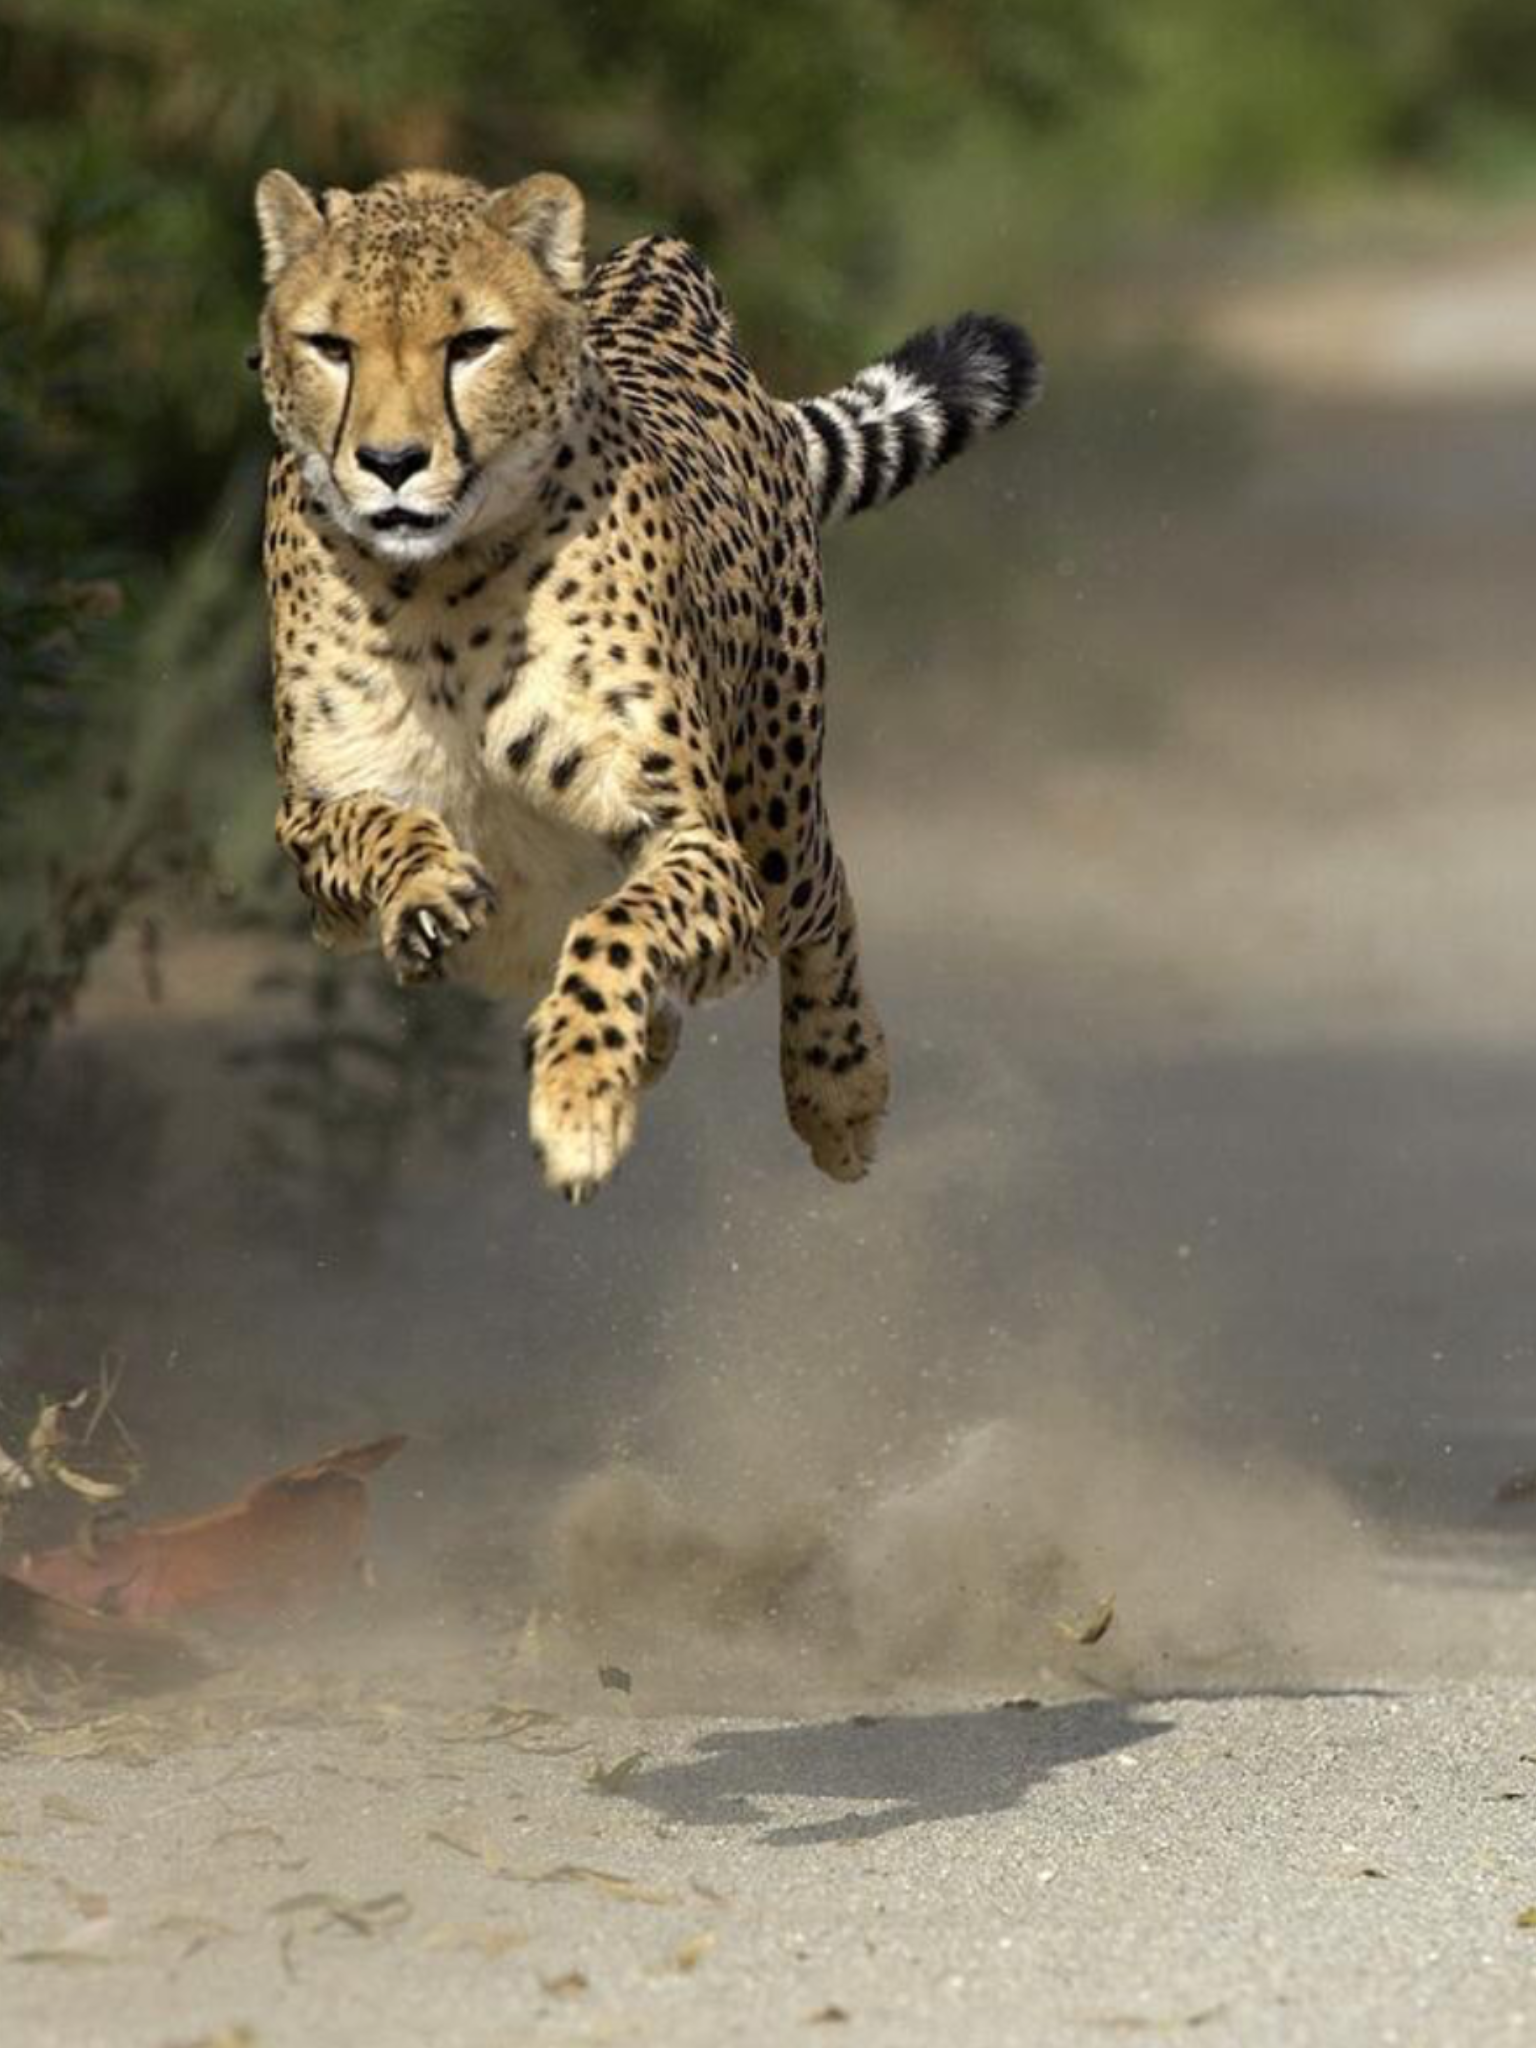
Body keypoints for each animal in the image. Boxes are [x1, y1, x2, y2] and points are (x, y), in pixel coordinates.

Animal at [256, 180, 1048, 1196]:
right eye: (331, 344)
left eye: (473, 342)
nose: (392, 464)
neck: (441, 585)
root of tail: (663, 263)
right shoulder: (310, 826)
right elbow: (376, 823)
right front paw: (430, 891)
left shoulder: (692, 837)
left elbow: (619, 929)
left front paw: (580, 1102)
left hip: (775, 815)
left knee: (821, 896)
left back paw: (838, 1087)